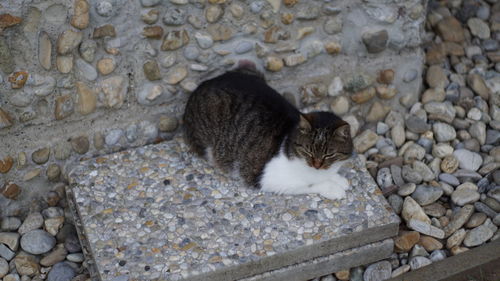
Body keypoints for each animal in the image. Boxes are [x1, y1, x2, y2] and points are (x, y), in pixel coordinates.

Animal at [183, 65, 352, 198]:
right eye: (308, 151)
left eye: (329, 154)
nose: (316, 165)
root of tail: (202, 86)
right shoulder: (272, 179)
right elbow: (310, 185)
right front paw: (332, 188)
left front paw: (338, 178)